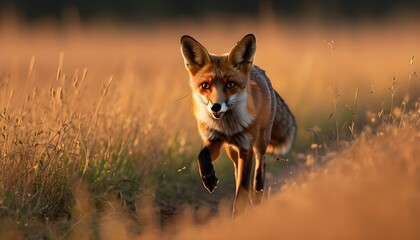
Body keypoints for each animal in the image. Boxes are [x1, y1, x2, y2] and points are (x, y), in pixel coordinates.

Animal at [180, 33, 296, 216]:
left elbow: (242, 192)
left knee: (260, 166)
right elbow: (202, 157)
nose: (216, 107)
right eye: (205, 85)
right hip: (231, 151)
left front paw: (239, 216)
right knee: (237, 172)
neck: (228, 128)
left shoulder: (245, 147)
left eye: (230, 84)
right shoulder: (214, 140)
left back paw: (257, 195)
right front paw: (208, 177)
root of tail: (258, 69)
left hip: (260, 142)